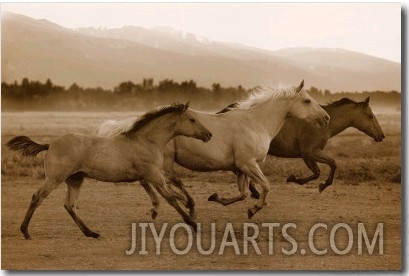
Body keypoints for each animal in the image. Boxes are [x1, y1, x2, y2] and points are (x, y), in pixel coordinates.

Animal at [6, 102, 210, 238]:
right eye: (192, 119)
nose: (209, 134)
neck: (146, 141)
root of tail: (50, 144)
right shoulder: (153, 174)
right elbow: (171, 198)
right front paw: (193, 223)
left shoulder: (152, 175)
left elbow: (172, 191)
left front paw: (189, 206)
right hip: (55, 178)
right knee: (37, 197)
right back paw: (25, 231)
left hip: (75, 179)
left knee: (69, 205)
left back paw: (90, 233)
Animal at [95, 80, 328, 220]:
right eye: (307, 100)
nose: (326, 118)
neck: (255, 124)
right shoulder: (248, 164)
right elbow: (266, 186)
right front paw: (253, 210)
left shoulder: (241, 168)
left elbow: (243, 193)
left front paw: (217, 198)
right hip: (162, 162)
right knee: (160, 181)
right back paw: (181, 205)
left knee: (150, 182)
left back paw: (159, 208)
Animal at [218, 96, 384, 194]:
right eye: (370, 116)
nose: (381, 136)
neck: (323, 124)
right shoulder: (309, 153)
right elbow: (322, 169)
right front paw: (297, 180)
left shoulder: (312, 154)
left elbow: (330, 165)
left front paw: (320, 185)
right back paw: (255, 192)